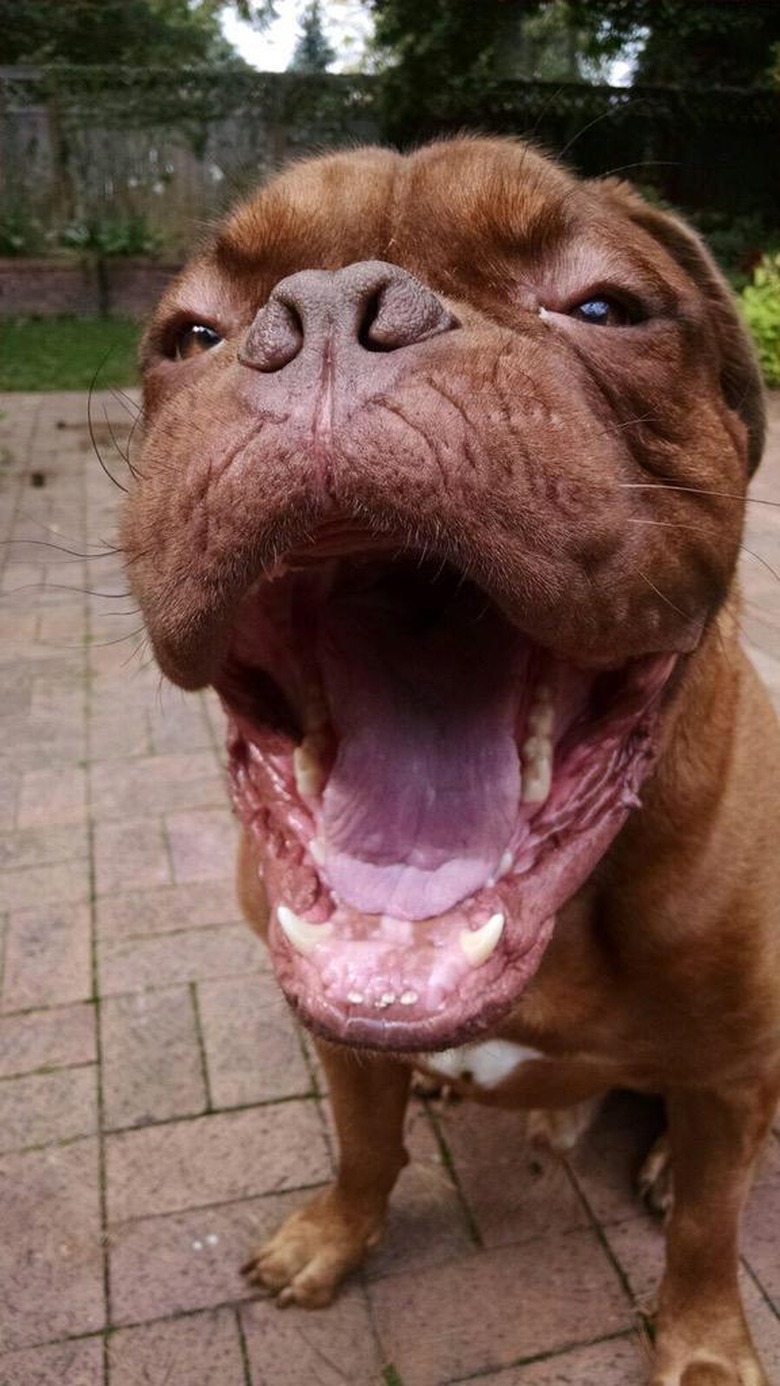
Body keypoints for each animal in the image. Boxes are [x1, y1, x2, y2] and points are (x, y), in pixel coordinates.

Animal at [123, 137, 780, 1386]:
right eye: (190, 335)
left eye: (606, 307)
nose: (330, 311)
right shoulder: (343, 1042)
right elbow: (364, 1149)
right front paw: (333, 1237)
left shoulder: (730, 1073)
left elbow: (710, 1231)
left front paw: (705, 1347)